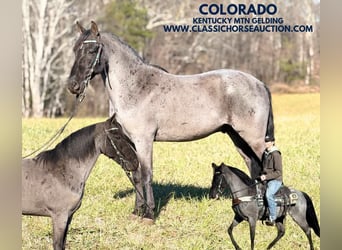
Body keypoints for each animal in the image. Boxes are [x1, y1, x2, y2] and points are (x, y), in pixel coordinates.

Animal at [21, 115, 138, 250]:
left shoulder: (69, 216)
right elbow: (58, 244)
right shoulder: (59, 216)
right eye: (117, 136)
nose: (136, 163)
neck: (63, 171)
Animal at [67, 21, 276, 221]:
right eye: (75, 49)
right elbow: (136, 175)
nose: (72, 85)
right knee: (253, 166)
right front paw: (137, 211)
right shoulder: (130, 141)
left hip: (254, 139)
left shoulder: (144, 140)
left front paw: (149, 214)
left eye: (92, 50)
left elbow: (146, 174)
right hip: (238, 137)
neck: (136, 87)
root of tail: (259, 83)